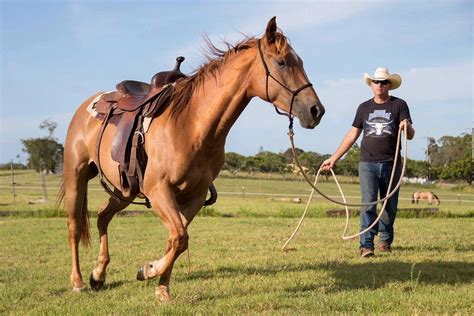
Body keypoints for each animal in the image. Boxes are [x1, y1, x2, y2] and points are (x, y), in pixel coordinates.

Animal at [62, 16, 326, 302]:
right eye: (282, 62)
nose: (316, 110)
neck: (191, 125)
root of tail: (87, 105)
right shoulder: (159, 190)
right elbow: (179, 237)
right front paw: (149, 270)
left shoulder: (194, 195)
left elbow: (176, 239)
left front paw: (161, 286)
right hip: (76, 176)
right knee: (75, 225)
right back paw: (78, 281)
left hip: (126, 189)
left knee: (102, 217)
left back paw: (98, 275)